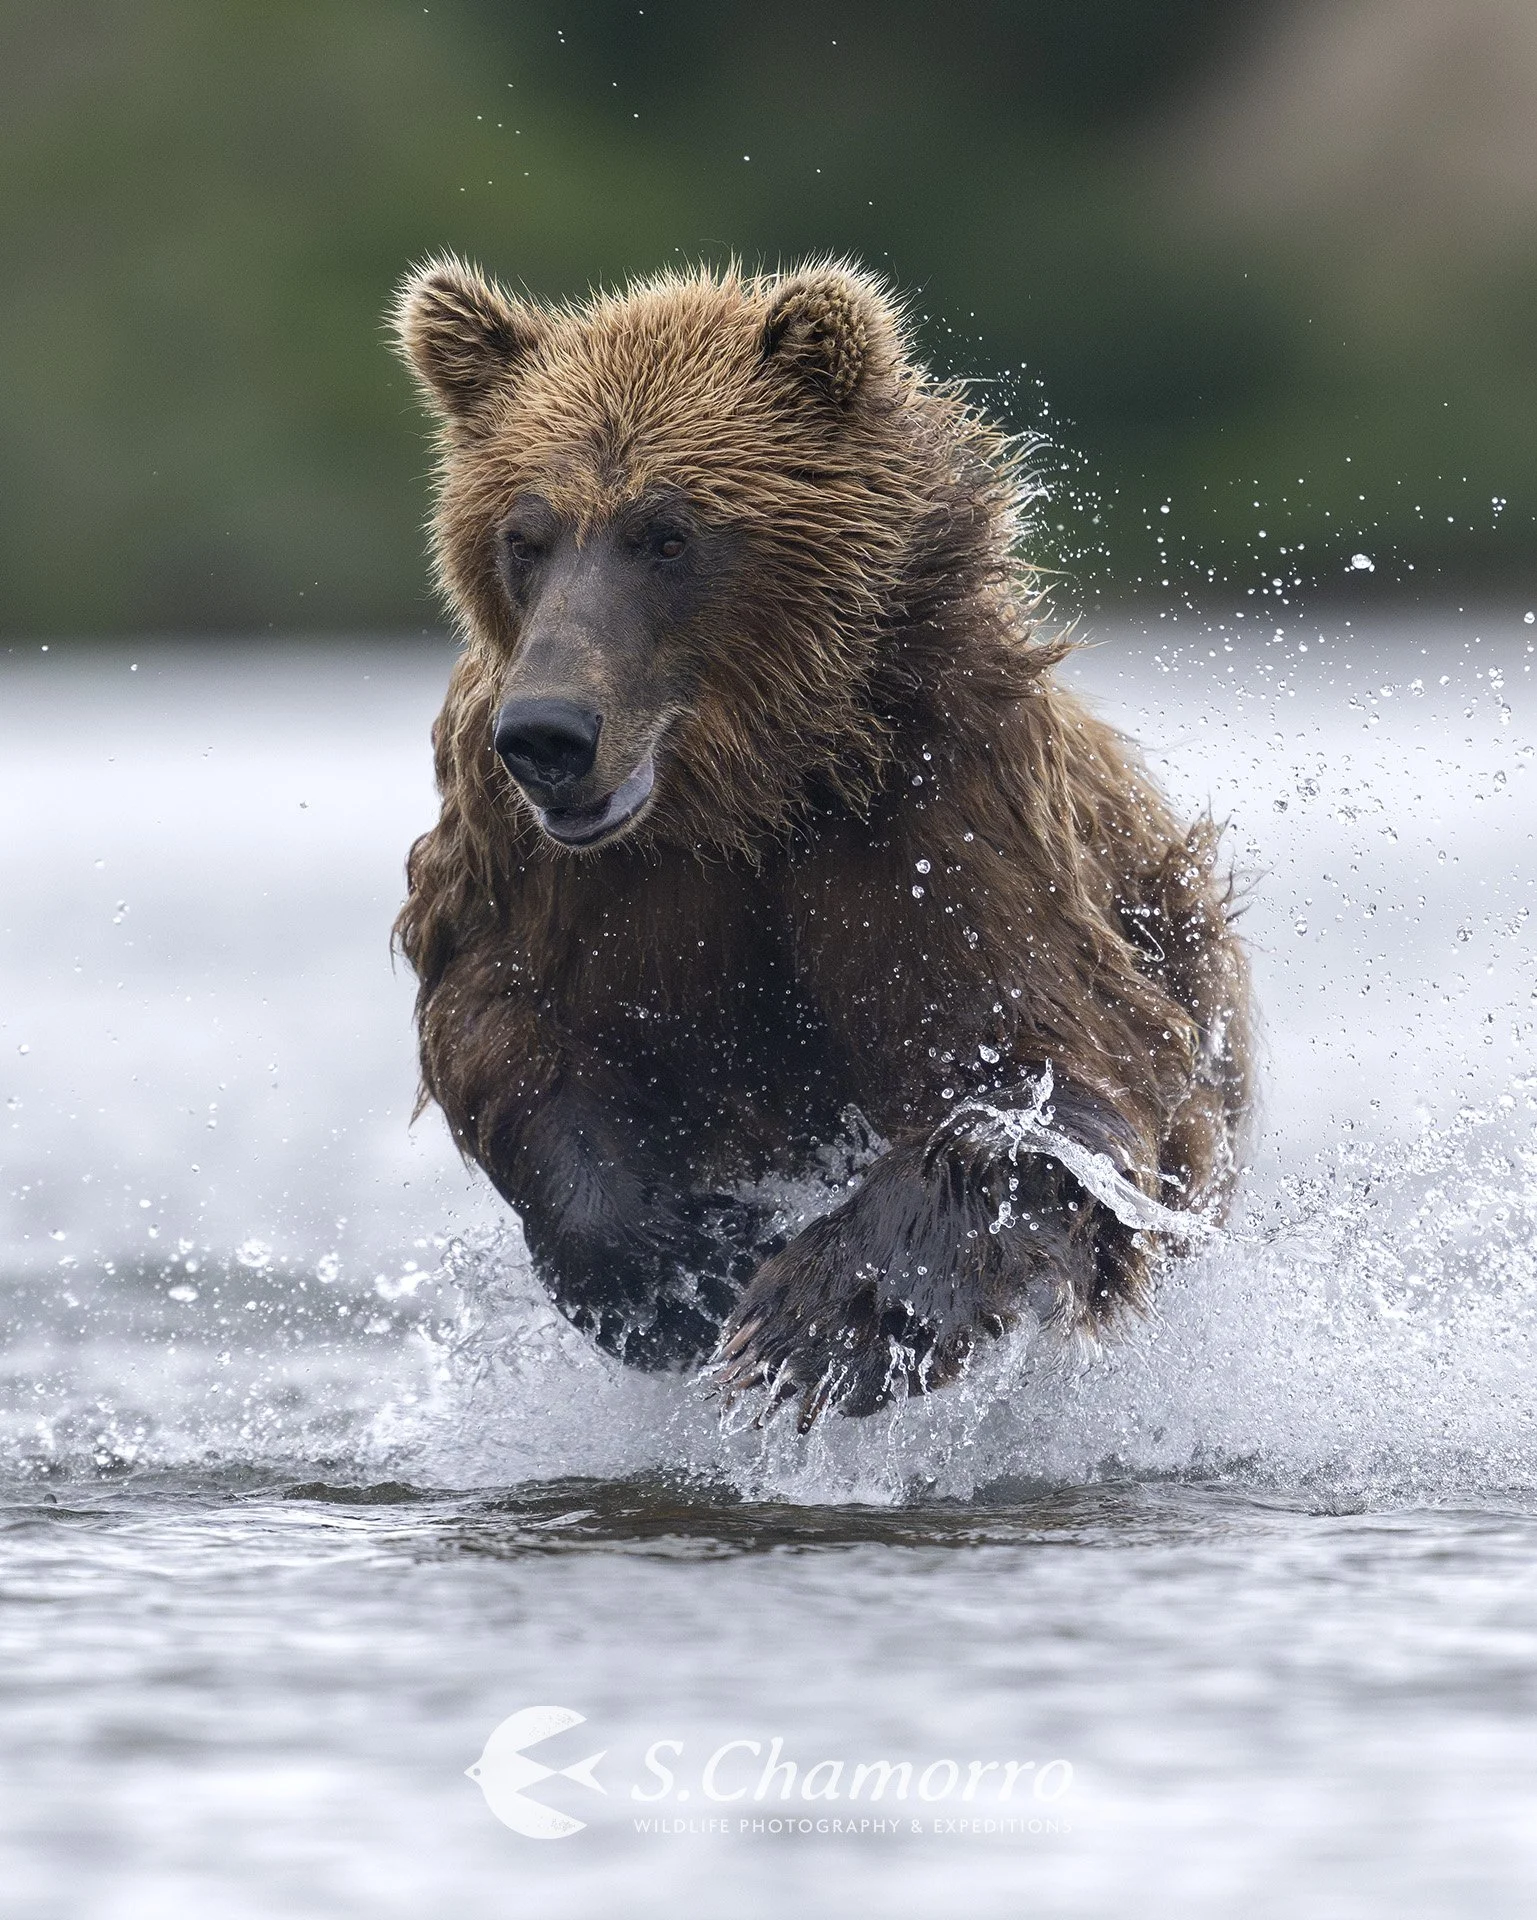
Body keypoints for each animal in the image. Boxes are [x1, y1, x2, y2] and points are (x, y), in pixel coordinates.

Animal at [390, 255, 1253, 1428]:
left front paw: (822, 1318)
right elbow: (500, 1024)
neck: (748, 796)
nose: (549, 737)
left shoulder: (937, 819)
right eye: (525, 535)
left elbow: (1041, 1066)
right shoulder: (543, 869)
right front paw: (692, 1265)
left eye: (668, 533)